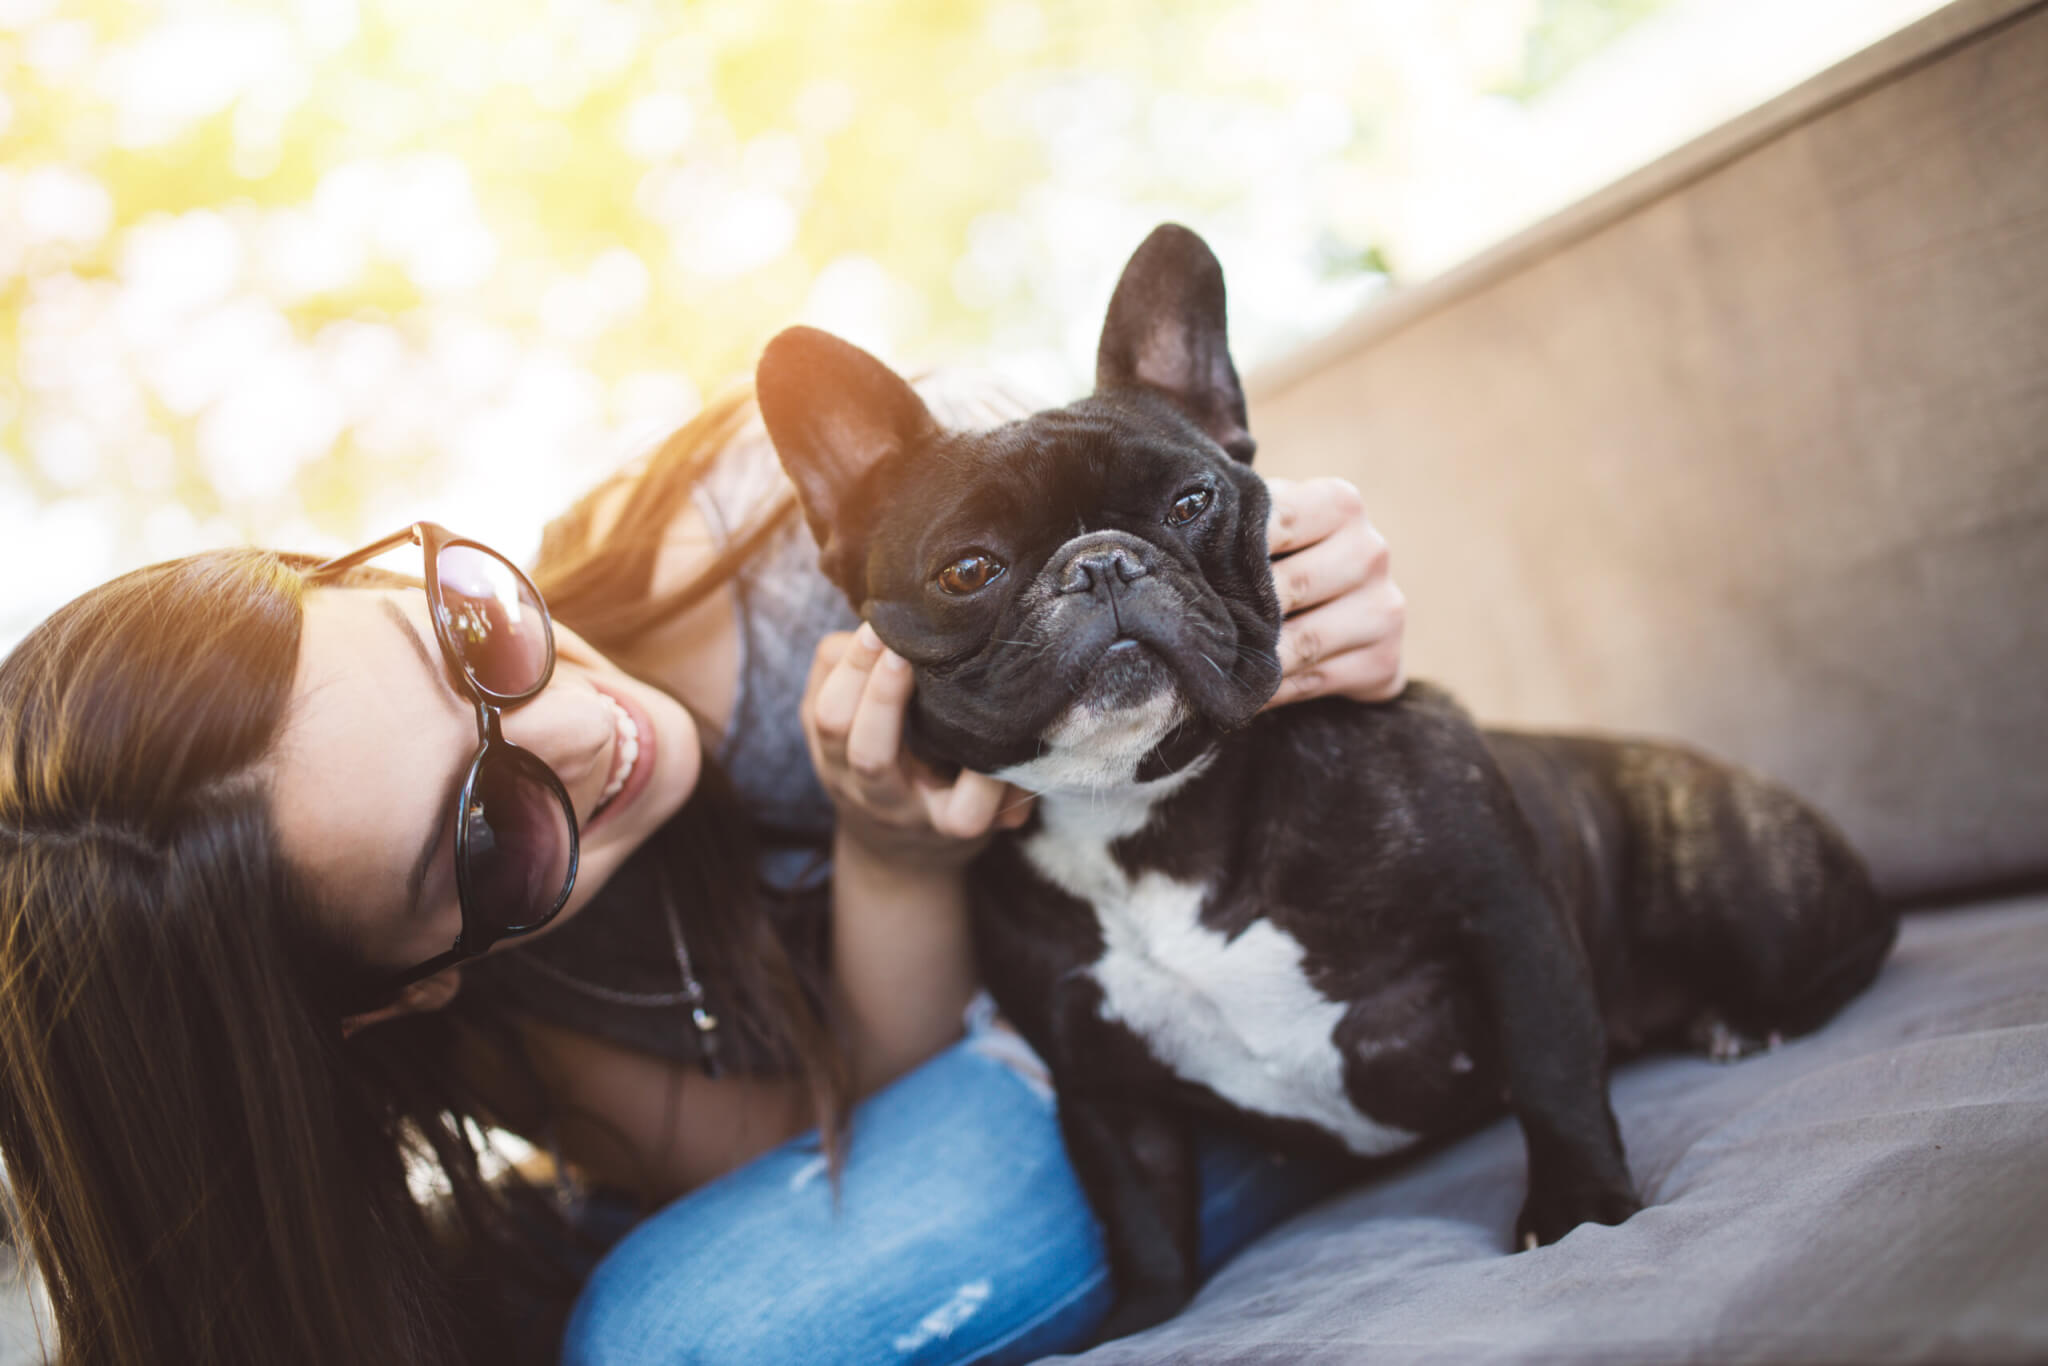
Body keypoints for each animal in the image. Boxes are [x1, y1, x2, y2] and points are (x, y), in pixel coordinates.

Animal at [757, 229, 1900, 1343]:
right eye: (968, 570)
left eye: (1190, 501)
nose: (1101, 562)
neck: (1142, 810)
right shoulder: (1096, 1081)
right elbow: (1138, 1209)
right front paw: (1143, 1319)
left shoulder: (1506, 916)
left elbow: (1552, 1070)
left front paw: (1579, 1209)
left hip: (1751, 896)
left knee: (1860, 939)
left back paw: (1739, 1019)